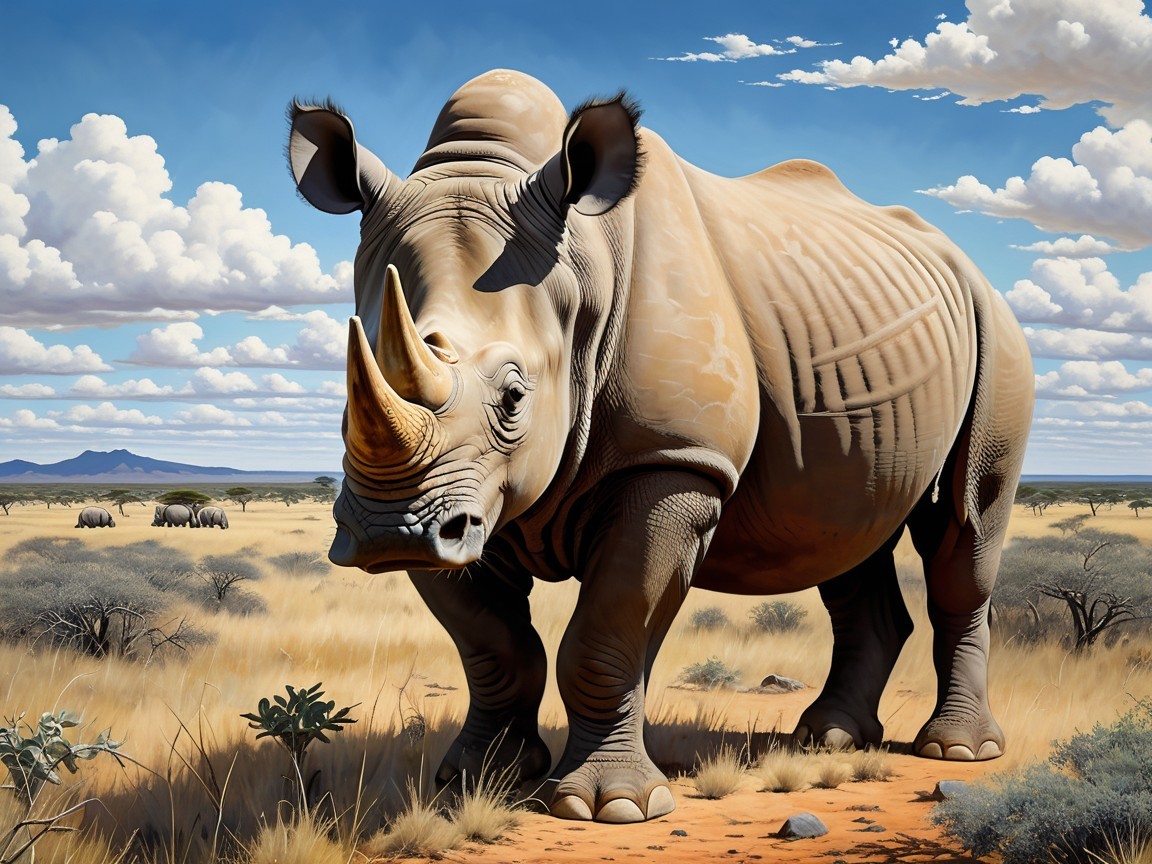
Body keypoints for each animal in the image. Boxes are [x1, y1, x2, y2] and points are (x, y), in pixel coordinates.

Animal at [288, 70, 1034, 823]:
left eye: (515, 397)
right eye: (345, 398)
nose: (389, 534)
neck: (580, 269)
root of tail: (964, 264)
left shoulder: (673, 462)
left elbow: (608, 629)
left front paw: (608, 806)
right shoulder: (465, 497)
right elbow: (493, 642)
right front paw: (479, 778)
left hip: (997, 333)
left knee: (965, 523)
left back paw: (957, 751)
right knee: (848, 533)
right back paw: (829, 740)